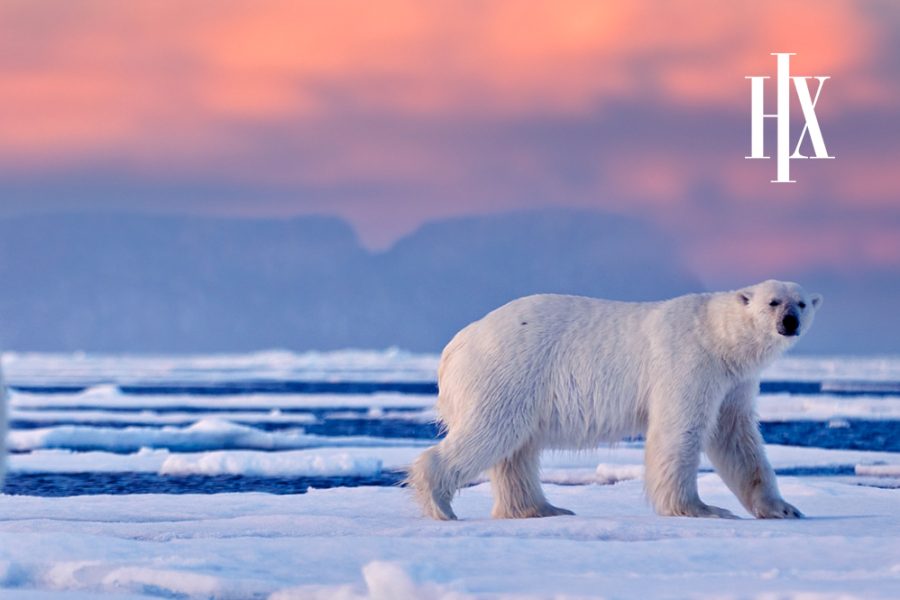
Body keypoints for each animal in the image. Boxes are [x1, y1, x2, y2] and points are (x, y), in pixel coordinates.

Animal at [408, 278, 824, 516]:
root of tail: (456, 345)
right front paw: (699, 508)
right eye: (773, 302)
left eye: (801, 302)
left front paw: (784, 509)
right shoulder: (689, 363)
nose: (789, 322)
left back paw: (541, 509)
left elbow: (736, 439)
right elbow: (679, 431)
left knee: (515, 451)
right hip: (508, 371)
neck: (717, 337)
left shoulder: (733, 383)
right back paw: (440, 504)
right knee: (492, 432)